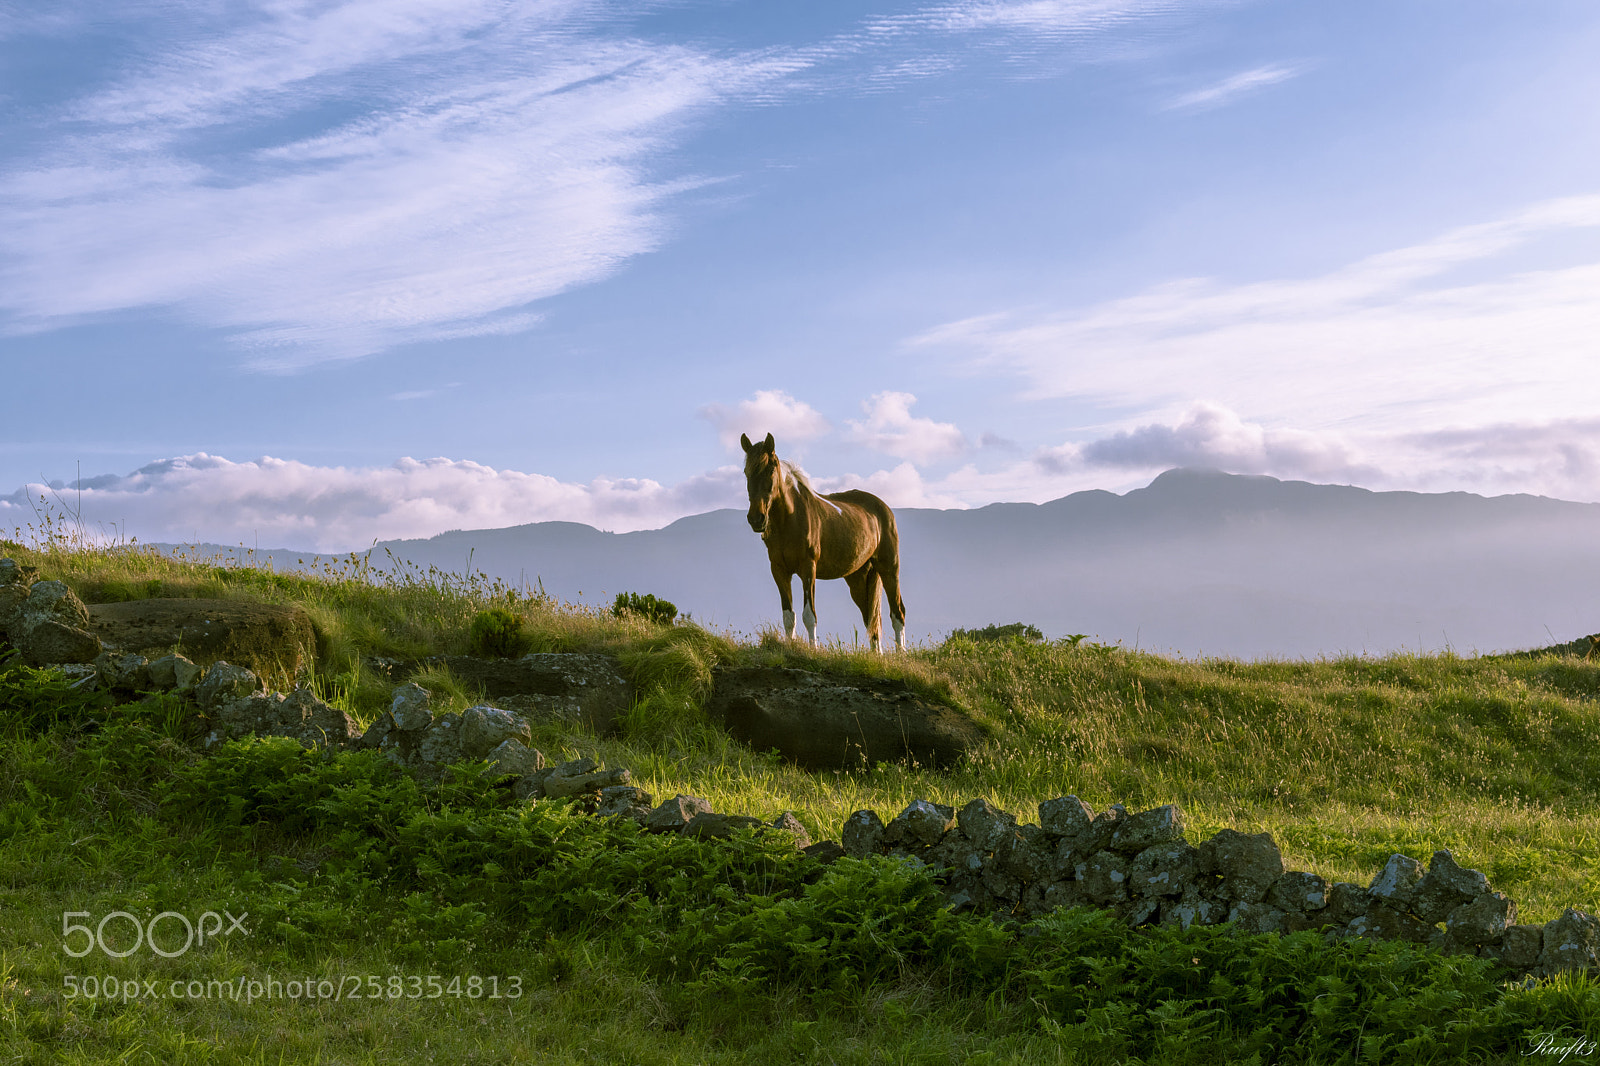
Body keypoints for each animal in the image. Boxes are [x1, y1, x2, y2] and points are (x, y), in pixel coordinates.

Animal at [740, 432, 907, 652]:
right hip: (859, 577)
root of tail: (883, 508)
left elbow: (809, 616)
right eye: (746, 472)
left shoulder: (808, 568)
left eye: (770, 469)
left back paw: (901, 654)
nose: (756, 519)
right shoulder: (779, 570)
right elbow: (789, 617)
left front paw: (813, 650)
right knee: (872, 619)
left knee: (897, 613)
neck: (790, 518)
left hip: (889, 568)